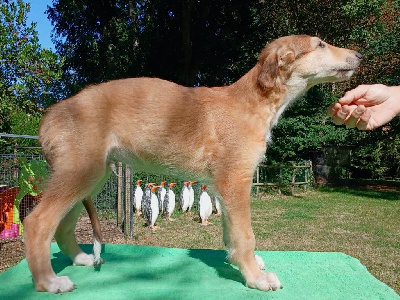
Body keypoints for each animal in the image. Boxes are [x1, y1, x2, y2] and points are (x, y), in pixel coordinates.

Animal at [25, 35, 362, 292]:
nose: (359, 54)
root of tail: (49, 115)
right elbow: (245, 235)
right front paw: (256, 277)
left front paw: (239, 263)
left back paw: (80, 259)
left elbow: (230, 233)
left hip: (91, 176)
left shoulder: (223, 186)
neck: (253, 101)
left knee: (62, 225)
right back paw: (48, 282)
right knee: (38, 222)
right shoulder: (236, 180)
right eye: (320, 44)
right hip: (80, 172)